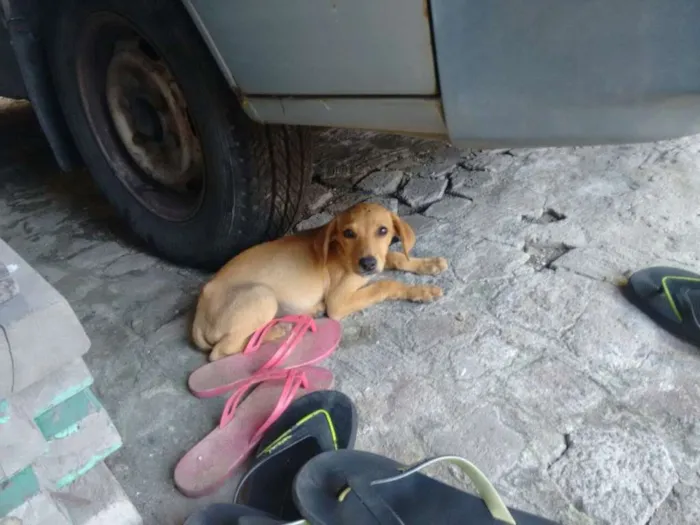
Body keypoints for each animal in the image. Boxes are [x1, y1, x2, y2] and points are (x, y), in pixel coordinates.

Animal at [191, 204, 448, 360]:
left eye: (383, 231)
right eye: (348, 233)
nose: (367, 264)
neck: (342, 251)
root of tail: (198, 317)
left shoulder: (379, 259)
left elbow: (396, 257)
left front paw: (430, 264)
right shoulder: (338, 300)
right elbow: (385, 284)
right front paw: (423, 291)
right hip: (262, 295)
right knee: (222, 351)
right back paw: (277, 331)